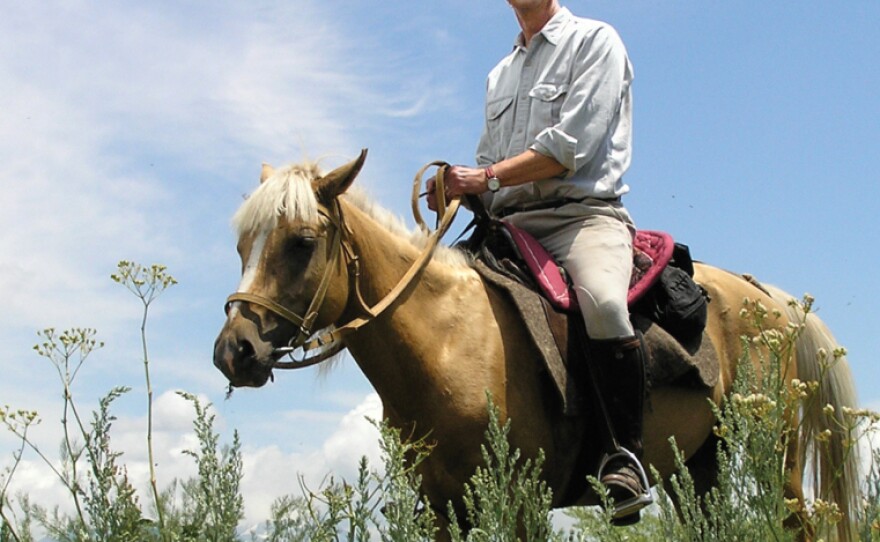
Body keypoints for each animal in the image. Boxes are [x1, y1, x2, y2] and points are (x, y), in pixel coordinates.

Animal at [213, 151, 861, 540]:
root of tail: (774, 301)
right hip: (701, 467)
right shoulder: (444, 512)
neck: (445, 342)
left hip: (774, 461)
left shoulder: (521, 500)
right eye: (242, 246)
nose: (233, 351)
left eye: (301, 242)